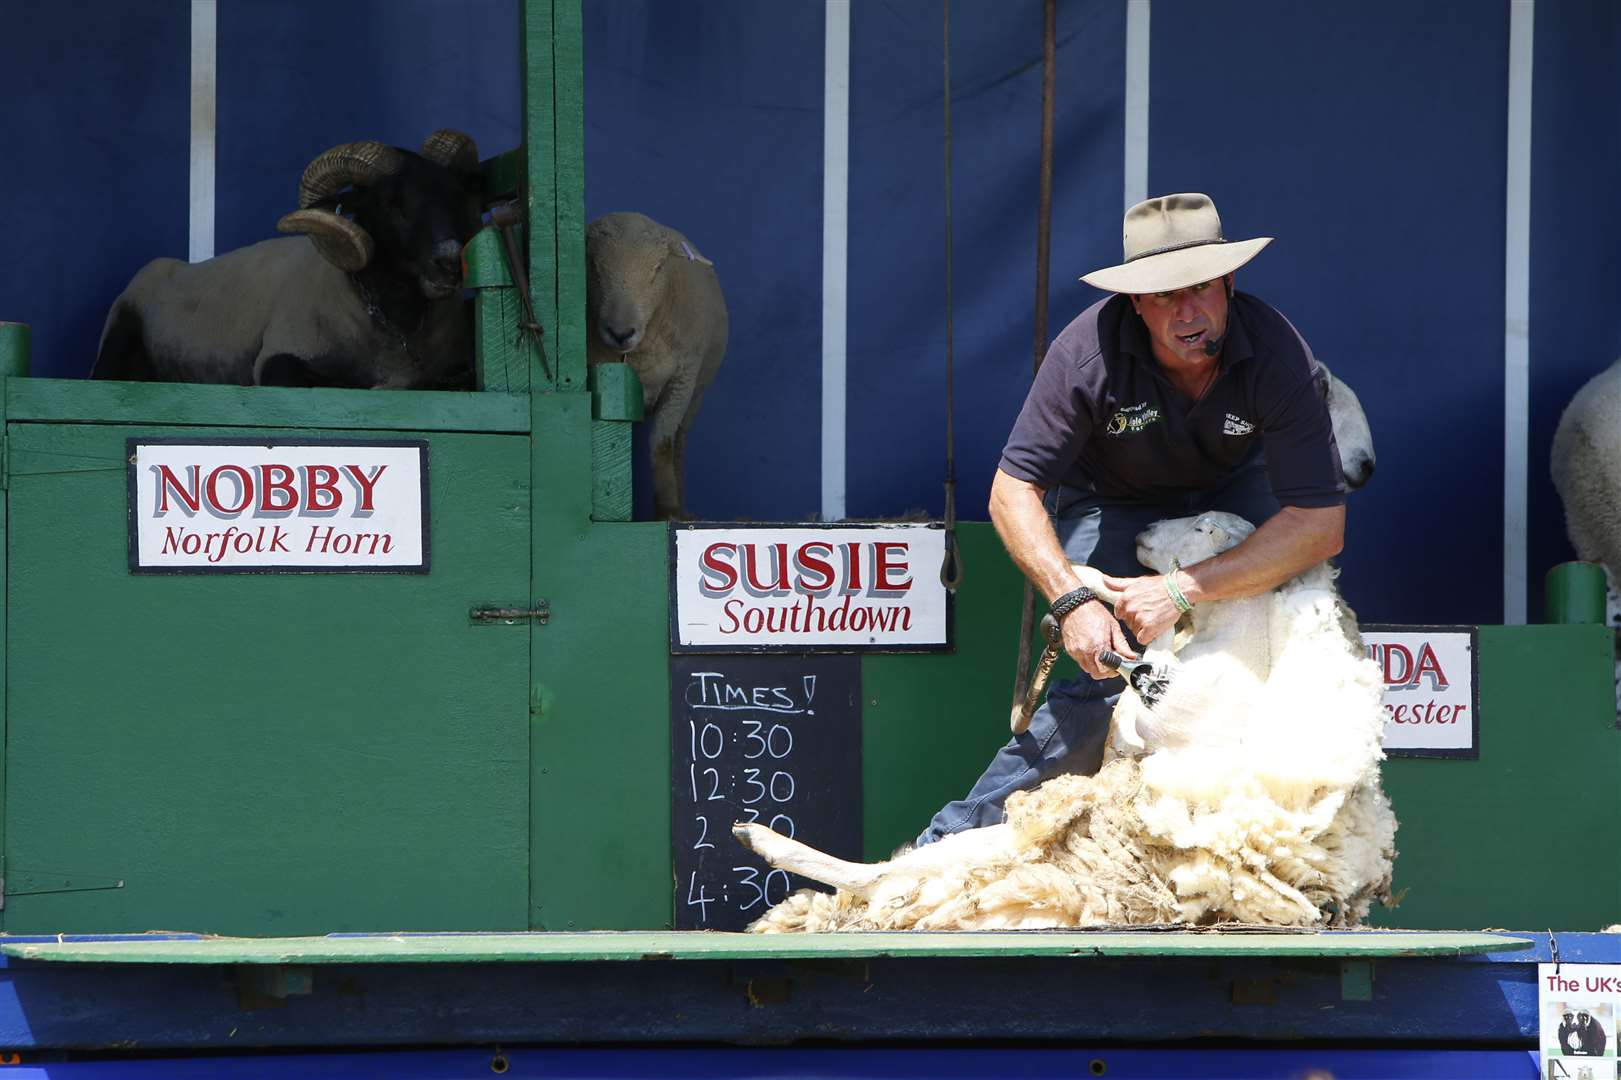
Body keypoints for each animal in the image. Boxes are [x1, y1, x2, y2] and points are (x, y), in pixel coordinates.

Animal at [735, 509, 1394, 927]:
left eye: (1204, 525)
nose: (1145, 530)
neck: (1228, 639)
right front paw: (1090, 583)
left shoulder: (1166, 714)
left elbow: (1141, 679)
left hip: (999, 844)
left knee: (879, 876)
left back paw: (763, 839)